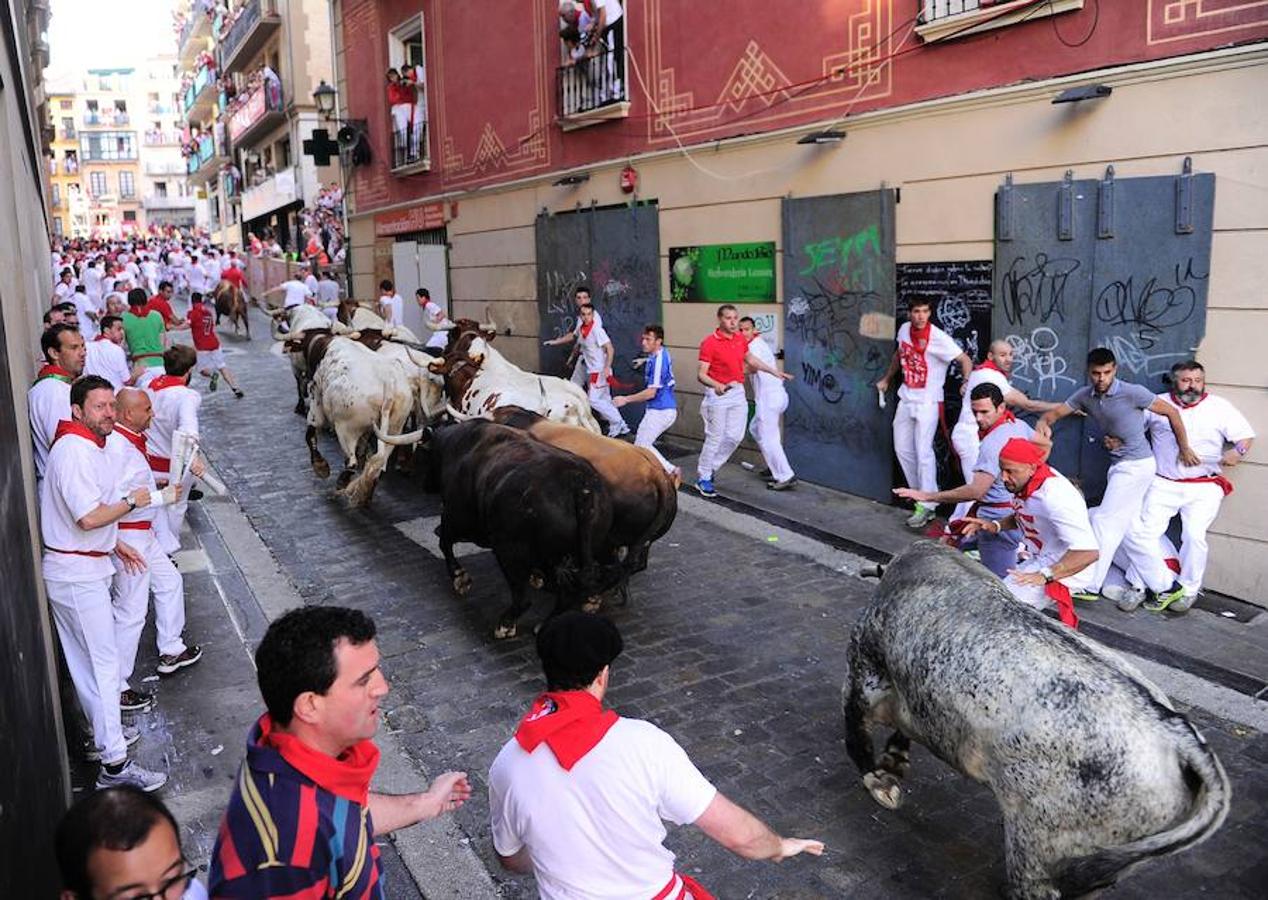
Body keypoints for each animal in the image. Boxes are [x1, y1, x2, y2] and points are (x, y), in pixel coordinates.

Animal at [841, 542, 1227, 900]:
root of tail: (1174, 730)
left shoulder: (864, 674)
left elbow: (856, 735)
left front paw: (879, 781)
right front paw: (893, 764)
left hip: (1036, 842)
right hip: (1109, 859)